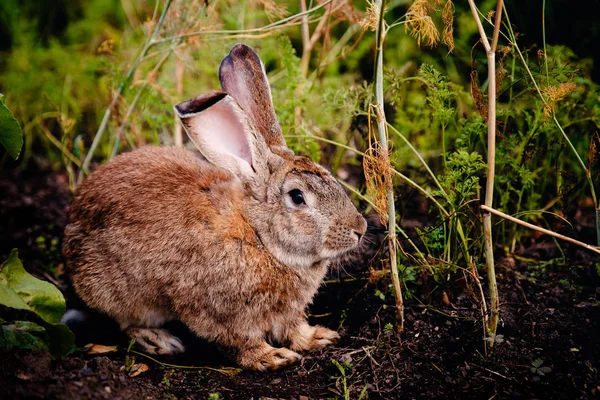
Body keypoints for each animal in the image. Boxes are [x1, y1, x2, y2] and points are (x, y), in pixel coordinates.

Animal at [63, 42, 368, 370]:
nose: (360, 229)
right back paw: (160, 341)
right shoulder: (219, 312)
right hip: (124, 296)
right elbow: (240, 341)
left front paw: (318, 337)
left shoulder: (287, 312)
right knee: (125, 322)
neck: (259, 237)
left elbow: (292, 327)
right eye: (297, 197)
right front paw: (271, 357)